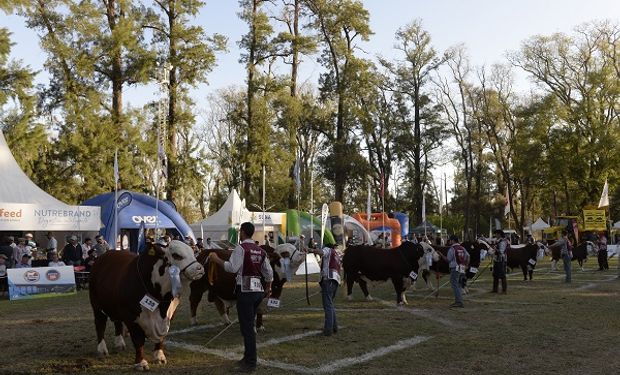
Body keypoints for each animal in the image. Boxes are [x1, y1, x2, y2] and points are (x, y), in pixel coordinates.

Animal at [88, 241, 205, 370]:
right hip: (96, 305)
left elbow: (161, 338)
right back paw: (102, 350)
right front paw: (141, 362)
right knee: (100, 324)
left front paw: (159, 357)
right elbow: (138, 340)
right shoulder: (131, 316)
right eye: (176, 255)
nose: (200, 268)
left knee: (117, 322)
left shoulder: (169, 315)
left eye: (193, 252)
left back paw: (119, 344)